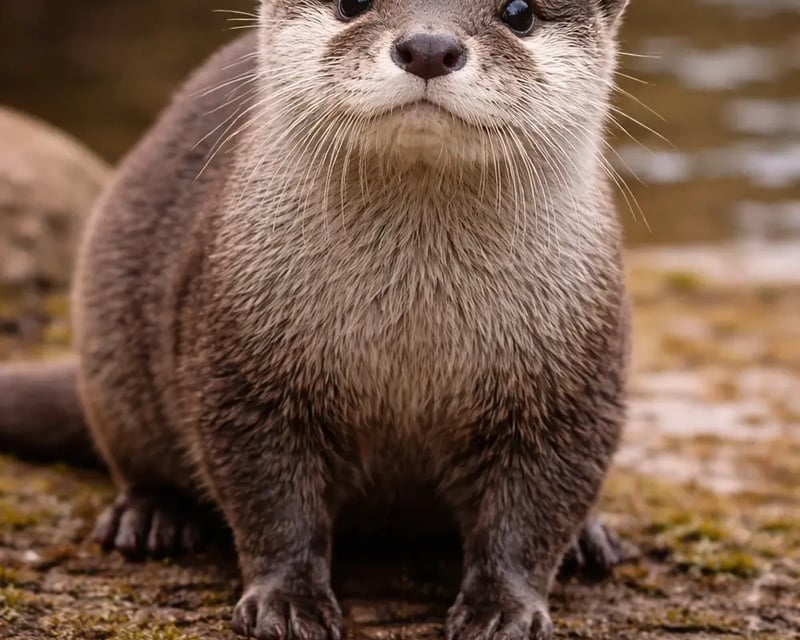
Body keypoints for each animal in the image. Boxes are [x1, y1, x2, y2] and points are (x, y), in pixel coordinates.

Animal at [0, 1, 633, 639]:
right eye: (352, 4)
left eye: (519, 13)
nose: (429, 47)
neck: (413, 335)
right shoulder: (244, 370)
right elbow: (270, 499)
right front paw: (288, 602)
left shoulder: (571, 384)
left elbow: (535, 510)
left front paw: (503, 609)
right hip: (109, 341)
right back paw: (151, 517)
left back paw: (591, 540)